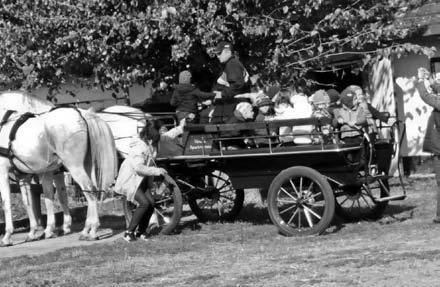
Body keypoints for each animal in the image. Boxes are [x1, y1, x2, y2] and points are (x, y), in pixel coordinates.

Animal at [0, 93, 117, 246]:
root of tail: (82, 115)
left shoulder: (3, 172)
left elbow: (6, 202)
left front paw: (7, 236)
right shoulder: (24, 175)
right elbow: (28, 202)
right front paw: (33, 233)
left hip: (75, 167)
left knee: (89, 191)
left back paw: (92, 231)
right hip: (87, 166)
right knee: (91, 191)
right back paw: (86, 230)